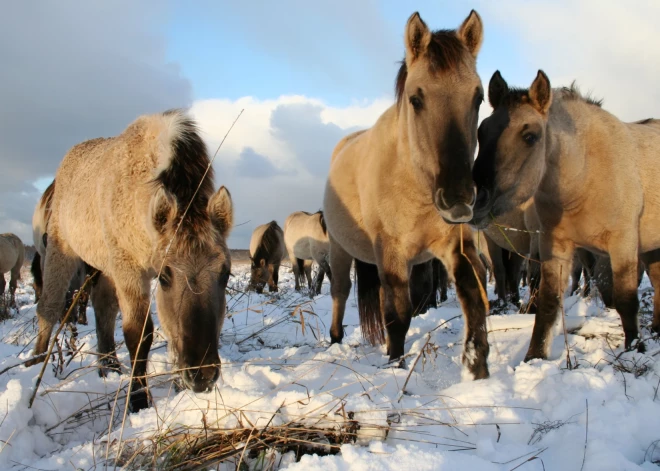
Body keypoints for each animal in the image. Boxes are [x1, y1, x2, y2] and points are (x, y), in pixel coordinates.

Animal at [322, 11, 488, 380]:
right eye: (416, 99)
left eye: (478, 97)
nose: (457, 199)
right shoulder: (391, 251)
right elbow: (397, 315)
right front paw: (395, 365)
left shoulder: (452, 246)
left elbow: (472, 292)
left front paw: (477, 365)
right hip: (341, 249)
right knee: (340, 293)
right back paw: (334, 341)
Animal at [472, 69, 660, 362]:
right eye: (482, 131)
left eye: (530, 136)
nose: (477, 202)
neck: (585, 175)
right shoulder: (555, 245)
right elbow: (548, 301)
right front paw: (534, 356)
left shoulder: (623, 244)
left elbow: (627, 300)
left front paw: (634, 350)